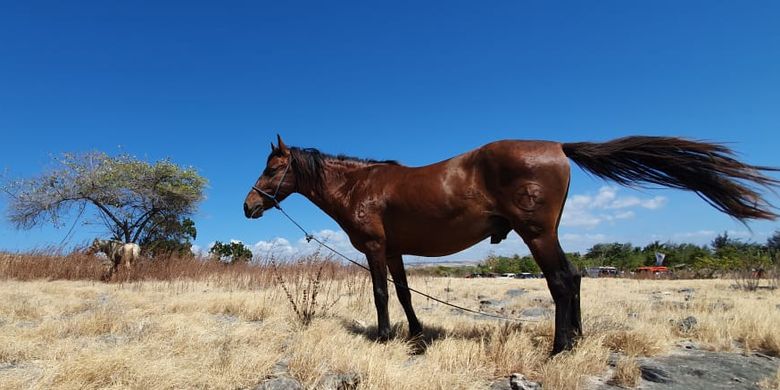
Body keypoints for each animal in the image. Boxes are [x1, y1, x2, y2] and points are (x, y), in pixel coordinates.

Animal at [242, 134, 772, 354]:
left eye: (272, 168)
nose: (248, 206)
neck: (362, 185)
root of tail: (557, 145)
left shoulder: (374, 249)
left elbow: (379, 295)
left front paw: (386, 337)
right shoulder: (393, 252)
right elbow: (406, 294)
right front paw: (416, 335)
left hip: (538, 234)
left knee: (562, 281)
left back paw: (559, 349)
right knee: (574, 279)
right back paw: (576, 340)